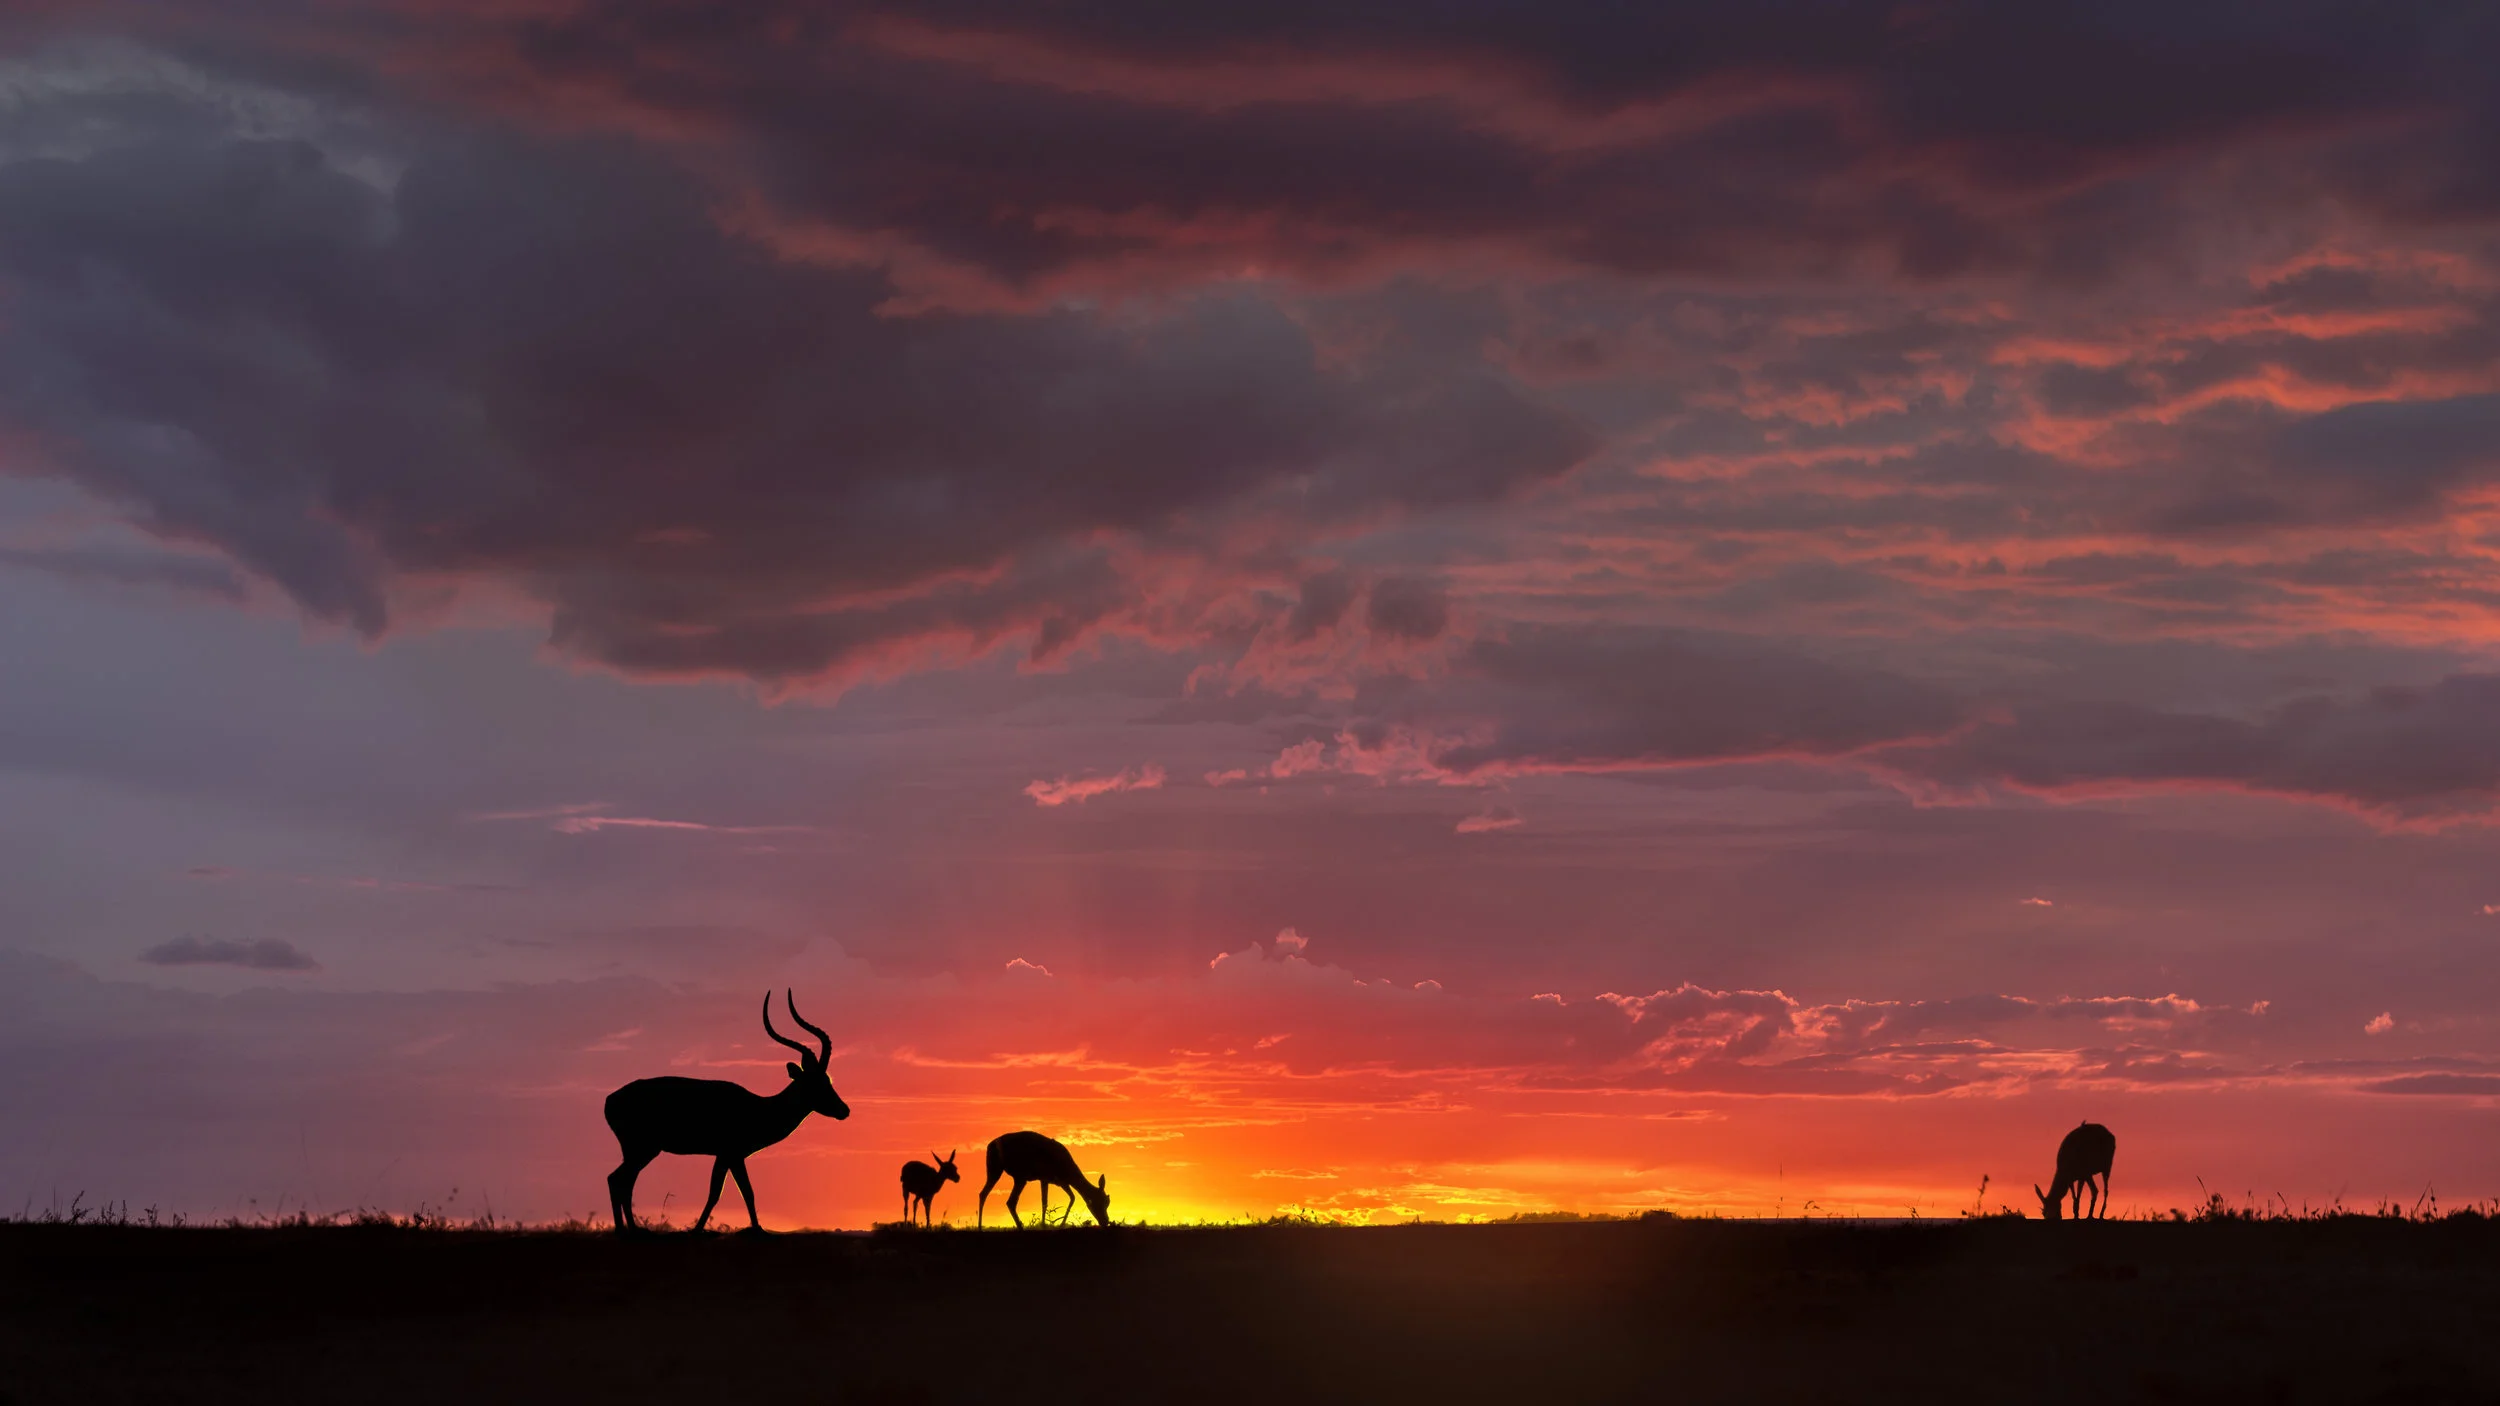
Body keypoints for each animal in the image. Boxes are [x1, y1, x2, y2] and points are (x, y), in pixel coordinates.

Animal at [603, 990, 850, 1233]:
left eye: (828, 1079)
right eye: (816, 1083)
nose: (844, 1110)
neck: (759, 1108)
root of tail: (610, 1100)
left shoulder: (727, 1156)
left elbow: (730, 1193)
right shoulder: (731, 1154)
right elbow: (735, 1192)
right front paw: (747, 1231)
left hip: (637, 1151)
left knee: (624, 1182)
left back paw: (632, 1229)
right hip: (644, 1149)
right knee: (616, 1179)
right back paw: (626, 1231)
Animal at [976, 1130, 1111, 1227]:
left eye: (1107, 1201)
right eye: (1101, 1202)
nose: (1106, 1221)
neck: (1067, 1171)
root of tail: (992, 1145)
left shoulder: (1060, 1182)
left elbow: (1072, 1197)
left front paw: (1060, 1224)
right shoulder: (1045, 1177)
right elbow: (1045, 1202)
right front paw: (1044, 1225)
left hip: (995, 1170)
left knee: (983, 1193)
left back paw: (980, 1227)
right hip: (1019, 1175)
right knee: (1010, 1201)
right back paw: (1020, 1227)